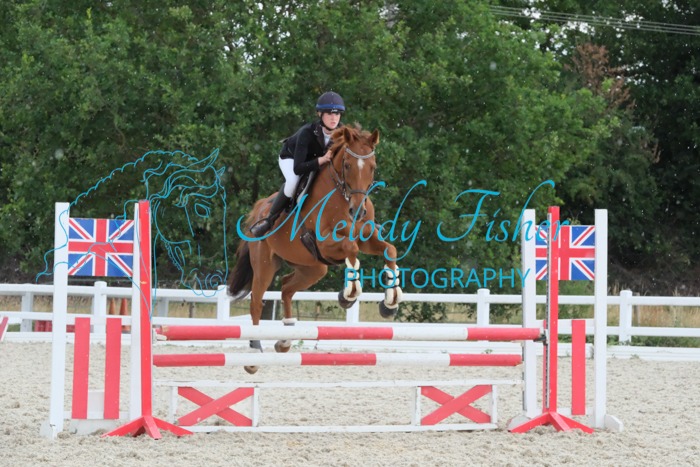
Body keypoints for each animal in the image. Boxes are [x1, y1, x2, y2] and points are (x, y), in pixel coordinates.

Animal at [229, 124, 403, 374]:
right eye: (347, 165)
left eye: (373, 167)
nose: (357, 212)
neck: (343, 196)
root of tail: (260, 207)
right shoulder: (326, 243)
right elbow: (351, 249)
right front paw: (348, 295)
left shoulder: (367, 238)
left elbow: (390, 250)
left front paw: (390, 302)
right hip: (264, 265)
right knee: (256, 302)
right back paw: (254, 354)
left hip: (313, 268)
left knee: (286, 288)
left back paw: (285, 340)